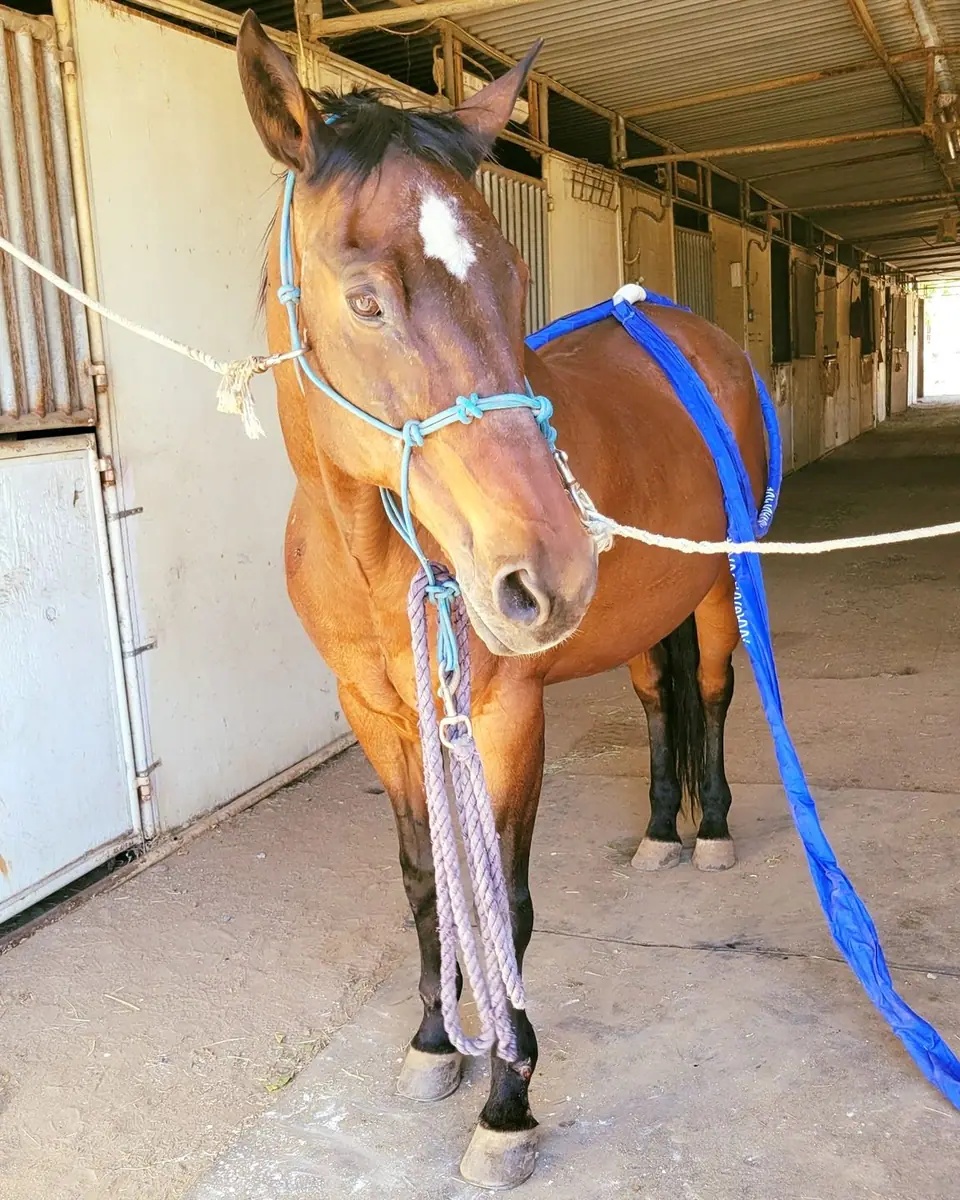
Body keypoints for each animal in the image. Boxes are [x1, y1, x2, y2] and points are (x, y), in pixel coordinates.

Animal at [236, 12, 769, 1189]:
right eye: (365, 298)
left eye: (516, 279)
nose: (551, 570)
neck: (375, 555)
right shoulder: (381, 717)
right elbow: (427, 883)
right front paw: (437, 1044)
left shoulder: (504, 715)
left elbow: (505, 902)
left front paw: (508, 1104)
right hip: (637, 618)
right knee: (657, 699)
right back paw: (659, 829)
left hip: (720, 583)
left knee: (710, 692)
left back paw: (709, 828)